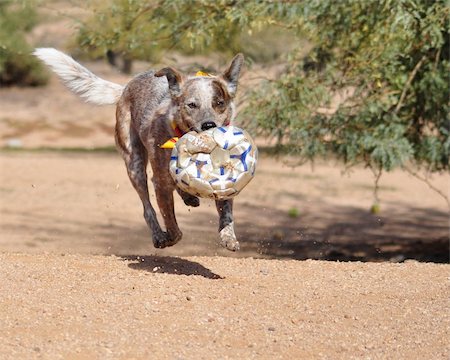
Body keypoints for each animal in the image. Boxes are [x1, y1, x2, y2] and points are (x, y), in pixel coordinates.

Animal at [34, 47, 246, 250]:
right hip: (134, 164)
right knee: (147, 207)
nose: (209, 125)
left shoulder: (223, 179)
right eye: (192, 105)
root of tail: (126, 87)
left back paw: (188, 198)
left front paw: (228, 237)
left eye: (219, 103)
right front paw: (169, 237)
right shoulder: (160, 183)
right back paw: (159, 235)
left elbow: (226, 212)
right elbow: (172, 226)